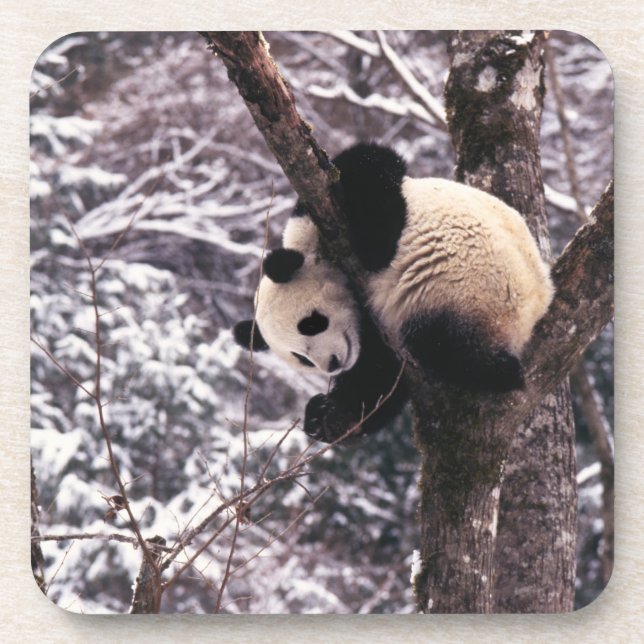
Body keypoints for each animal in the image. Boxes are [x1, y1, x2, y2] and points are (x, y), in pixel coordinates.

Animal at [233, 143, 554, 443]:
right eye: (301, 359)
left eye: (311, 324)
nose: (332, 364)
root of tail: (536, 307)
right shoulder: (371, 334)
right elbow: (379, 374)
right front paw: (327, 417)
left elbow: (371, 171)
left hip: (470, 290)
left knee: (440, 345)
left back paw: (499, 371)